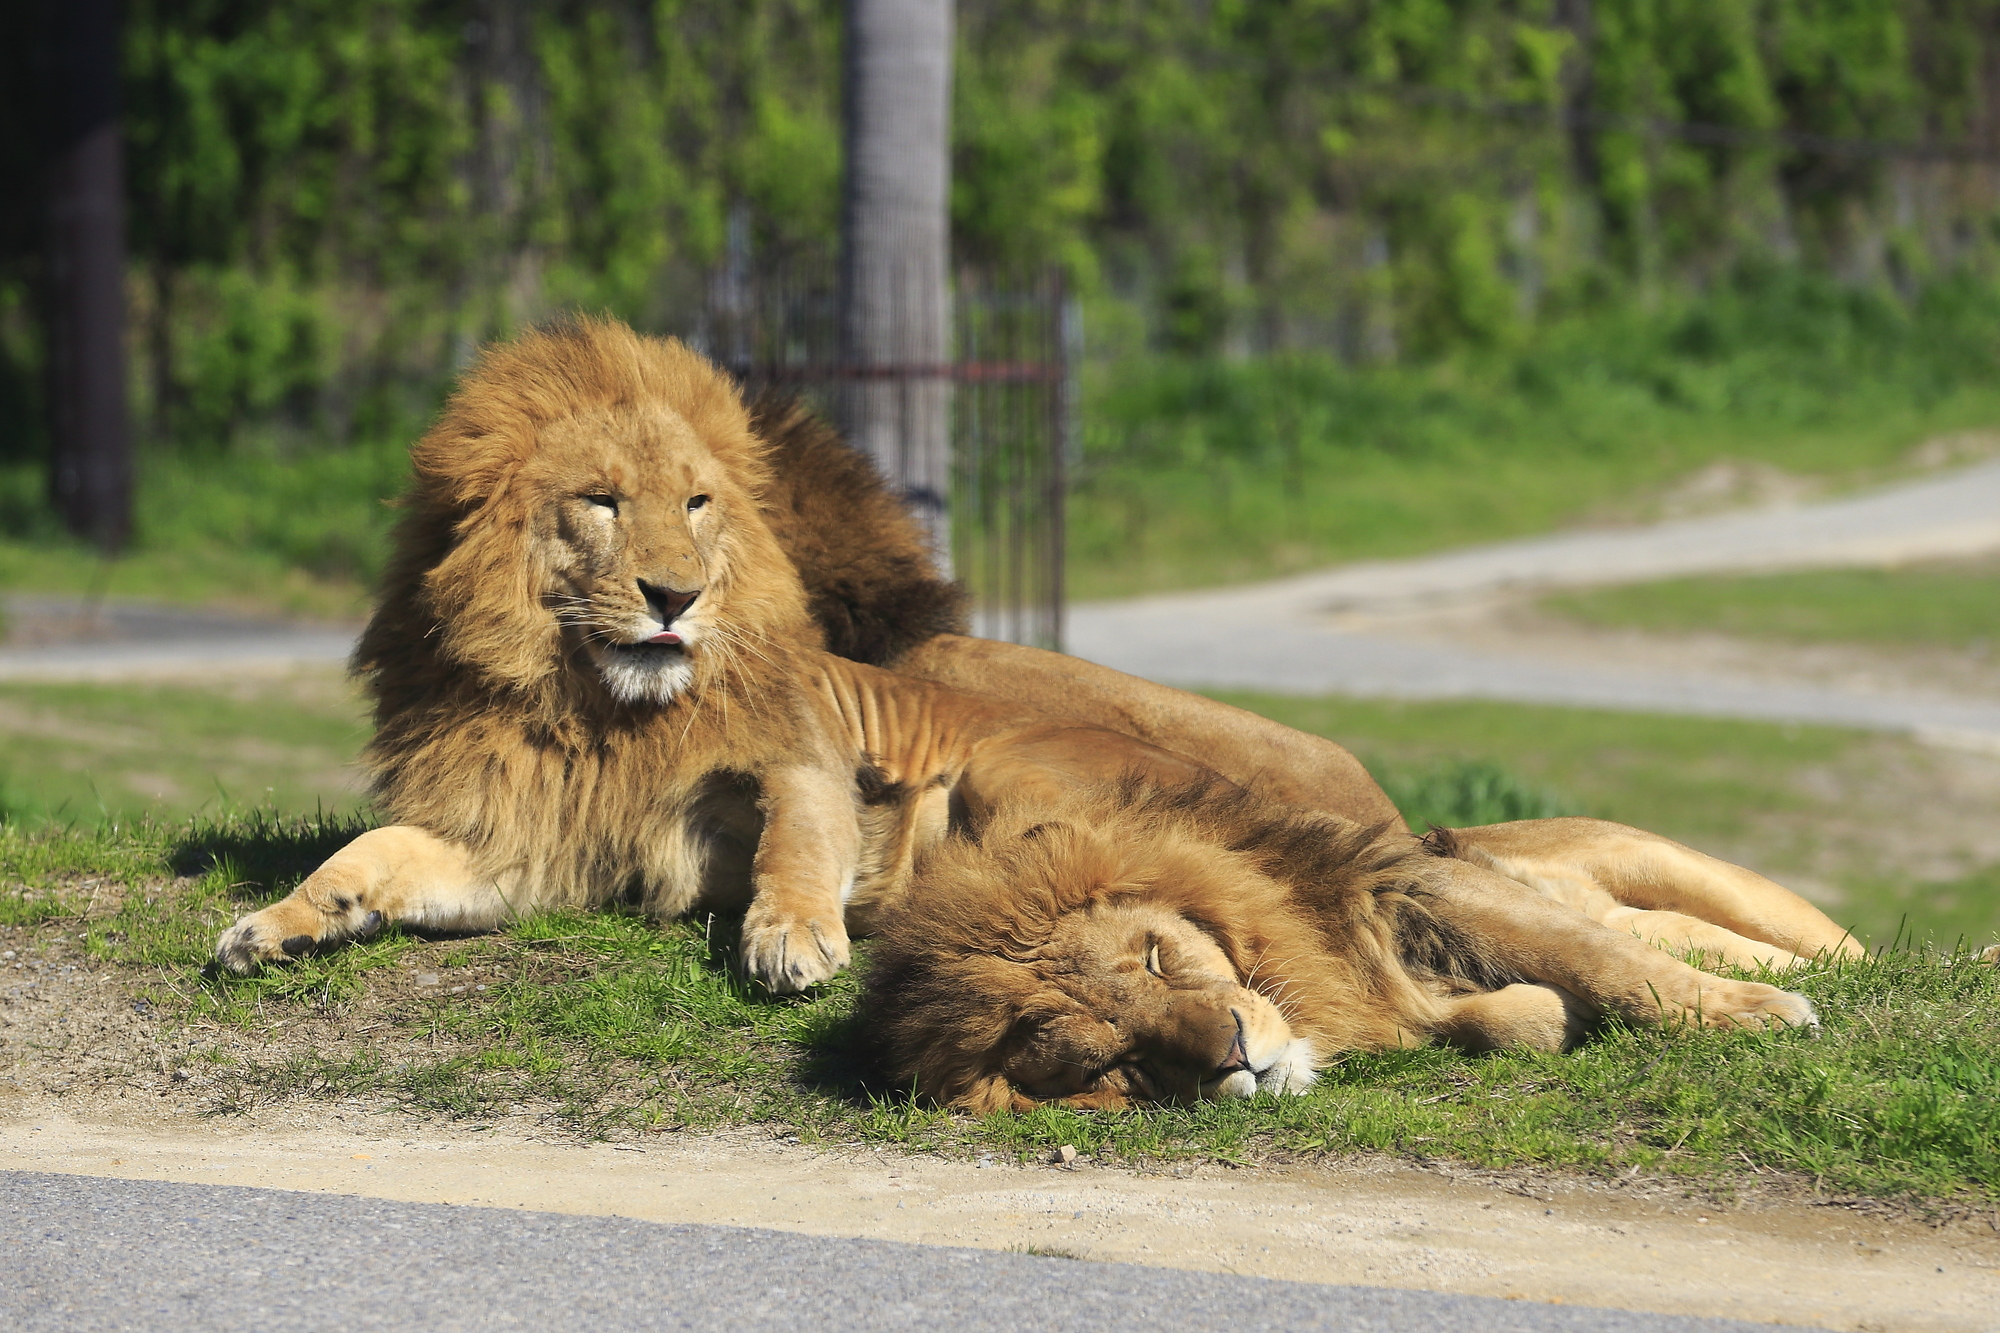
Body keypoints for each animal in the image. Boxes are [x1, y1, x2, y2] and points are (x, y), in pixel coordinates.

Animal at [864, 772, 1840, 1104]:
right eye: (1115, 1061)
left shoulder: (1416, 883)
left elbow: (1606, 962)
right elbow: (1508, 1014)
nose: (1235, 1053)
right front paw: (1542, 1016)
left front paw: (1754, 1014)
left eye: (1155, 956)